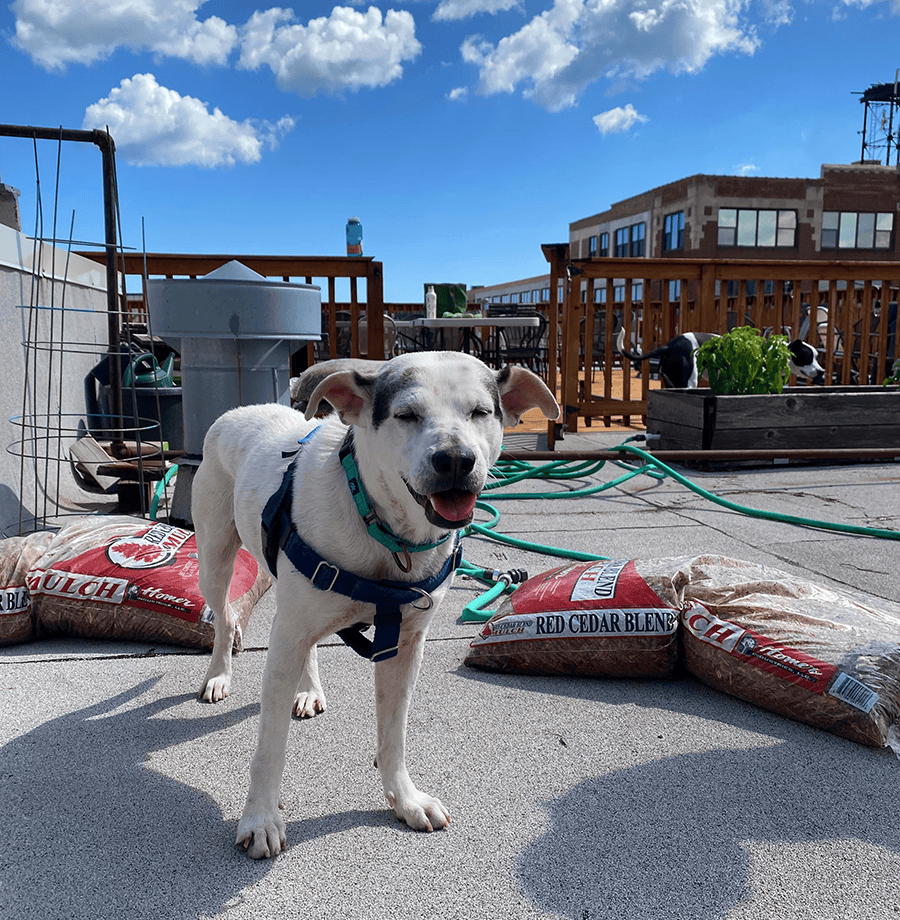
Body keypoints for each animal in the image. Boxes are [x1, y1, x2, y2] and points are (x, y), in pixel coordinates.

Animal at [192, 350, 556, 856]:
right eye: (406, 415)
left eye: (481, 412)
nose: (455, 459)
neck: (384, 530)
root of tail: (239, 411)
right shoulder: (286, 639)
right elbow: (270, 746)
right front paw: (261, 818)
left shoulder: (404, 644)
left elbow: (393, 734)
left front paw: (405, 799)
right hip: (214, 559)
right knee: (227, 619)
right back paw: (219, 676)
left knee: (304, 642)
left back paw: (308, 690)